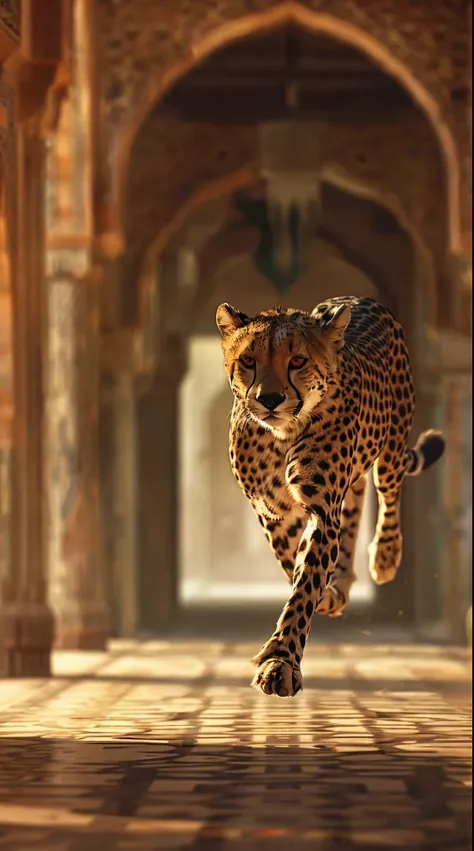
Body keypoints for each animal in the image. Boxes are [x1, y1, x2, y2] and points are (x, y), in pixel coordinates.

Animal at [217, 300, 446, 700]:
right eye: (248, 360)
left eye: (297, 360)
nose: (270, 399)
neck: (281, 435)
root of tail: (358, 300)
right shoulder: (273, 512)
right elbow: (292, 561)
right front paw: (319, 592)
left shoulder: (322, 510)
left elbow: (304, 584)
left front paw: (280, 662)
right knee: (355, 506)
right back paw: (339, 585)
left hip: (391, 446)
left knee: (388, 491)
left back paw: (385, 557)